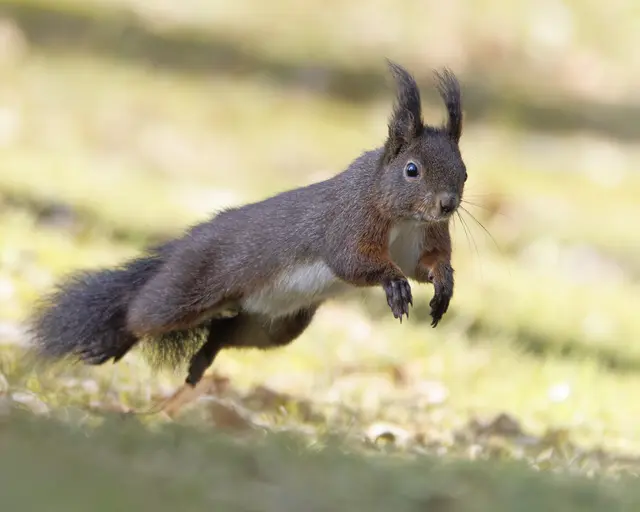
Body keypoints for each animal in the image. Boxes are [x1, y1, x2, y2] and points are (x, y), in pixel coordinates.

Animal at [28, 60, 467, 391]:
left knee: (224, 334)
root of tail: (186, 242)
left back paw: (201, 361)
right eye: (412, 170)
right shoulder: (349, 220)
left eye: (463, 171)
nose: (447, 204)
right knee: (142, 312)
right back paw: (114, 341)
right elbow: (352, 260)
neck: (404, 218)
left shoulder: (423, 238)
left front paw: (443, 284)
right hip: (186, 288)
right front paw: (393, 284)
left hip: (273, 326)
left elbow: (427, 265)